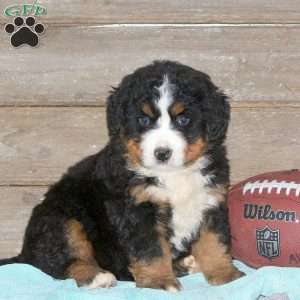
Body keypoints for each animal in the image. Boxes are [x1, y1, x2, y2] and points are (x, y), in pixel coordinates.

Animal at [0, 59, 244, 292]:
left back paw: (187, 263)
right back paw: (97, 277)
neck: (172, 175)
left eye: (183, 120)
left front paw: (226, 275)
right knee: (61, 263)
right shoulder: (138, 210)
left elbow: (215, 242)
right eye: (144, 120)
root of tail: (24, 253)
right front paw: (159, 282)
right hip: (62, 220)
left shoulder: (210, 200)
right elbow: (151, 250)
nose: (162, 153)